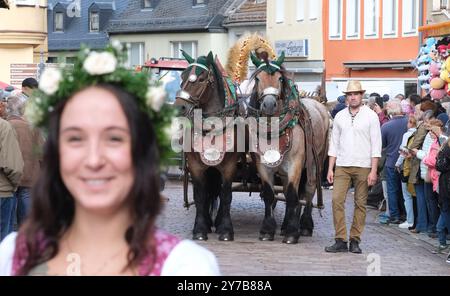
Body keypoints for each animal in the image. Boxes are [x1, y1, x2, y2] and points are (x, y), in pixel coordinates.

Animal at [173, 50, 243, 240]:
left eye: (201, 78)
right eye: (182, 76)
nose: (179, 108)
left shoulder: (229, 165)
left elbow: (226, 194)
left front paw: (225, 229)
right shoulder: (196, 166)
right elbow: (200, 195)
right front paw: (200, 228)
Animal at [248, 51, 328, 243]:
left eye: (279, 78)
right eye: (258, 78)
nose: (269, 104)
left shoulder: (296, 164)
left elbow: (292, 195)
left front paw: (292, 232)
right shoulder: (262, 165)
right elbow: (270, 195)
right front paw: (267, 230)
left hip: (316, 161)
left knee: (308, 190)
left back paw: (304, 225)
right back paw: (285, 225)